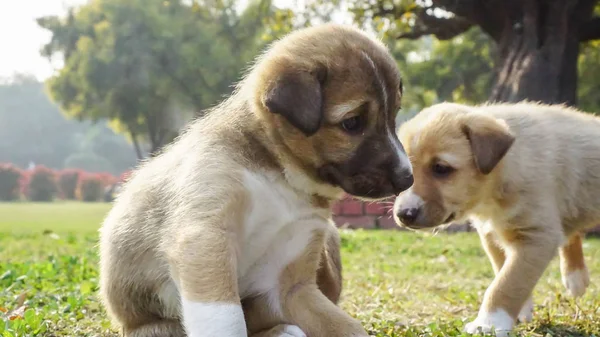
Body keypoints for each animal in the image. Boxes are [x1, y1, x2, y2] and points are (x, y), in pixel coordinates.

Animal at [101, 23, 414, 336]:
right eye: (352, 122)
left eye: (394, 115)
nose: (407, 179)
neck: (280, 178)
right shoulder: (205, 237)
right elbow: (227, 321)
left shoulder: (289, 284)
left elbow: (345, 326)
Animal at [392, 101, 596, 336]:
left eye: (441, 168)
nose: (403, 214)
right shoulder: (492, 235)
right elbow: (503, 271)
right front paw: (518, 311)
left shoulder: (535, 237)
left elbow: (506, 283)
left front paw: (488, 322)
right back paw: (576, 277)